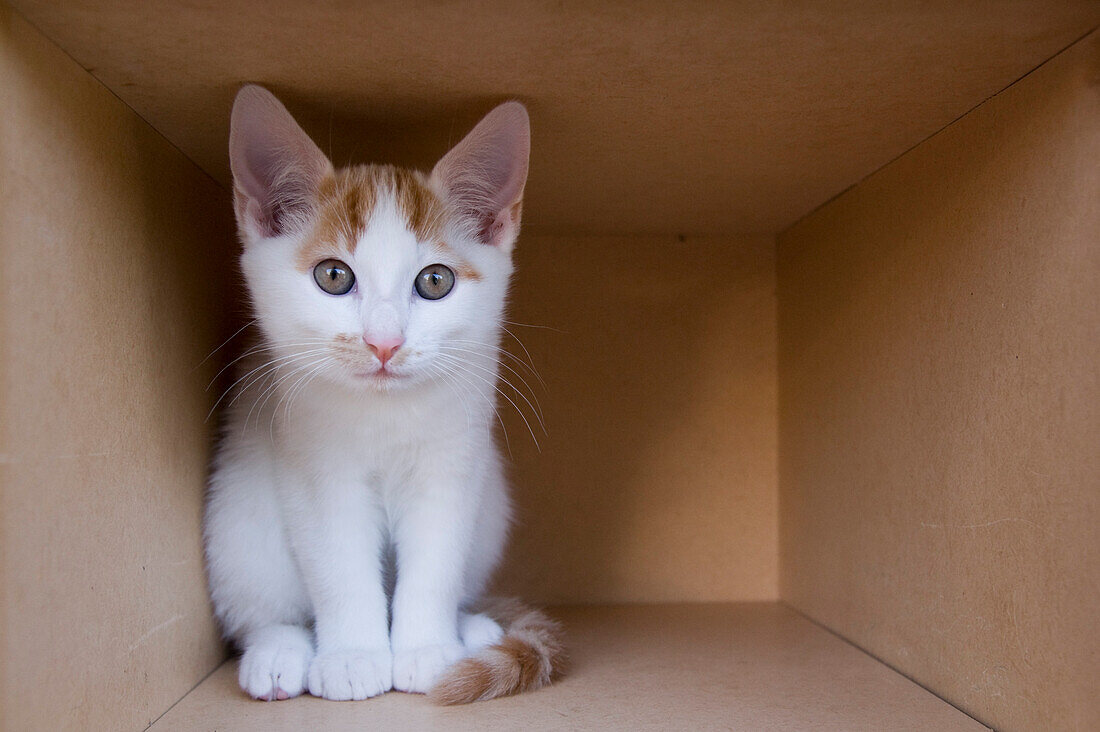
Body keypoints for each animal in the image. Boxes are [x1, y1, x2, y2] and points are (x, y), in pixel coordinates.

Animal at [203, 84, 563, 704]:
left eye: (435, 281)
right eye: (333, 276)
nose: (384, 342)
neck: (385, 413)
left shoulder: (455, 459)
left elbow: (437, 554)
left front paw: (427, 649)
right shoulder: (315, 466)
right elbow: (338, 561)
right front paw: (353, 657)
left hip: (491, 508)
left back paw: (473, 628)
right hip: (237, 516)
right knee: (259, 602)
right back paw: (277, 652)